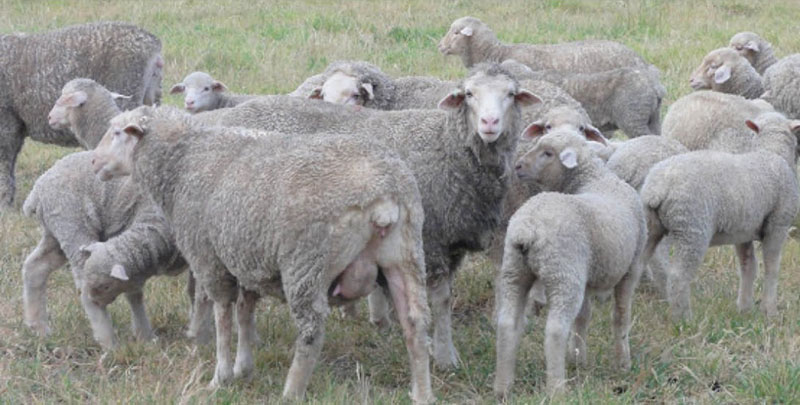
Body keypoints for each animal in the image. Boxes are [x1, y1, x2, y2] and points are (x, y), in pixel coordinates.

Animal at [90, 105, 434, 404]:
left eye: (117, 132)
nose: (93, 162)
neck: (184, 162)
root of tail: (383, 193)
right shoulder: (246, 258)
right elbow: (245, 311)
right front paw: (244, 367)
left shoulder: (210, 259)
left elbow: (224, 316)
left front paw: (221, 376)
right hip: (406, 254)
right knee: (415, 322)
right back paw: (422, 392)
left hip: (306, 261)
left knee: (312, 328)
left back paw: (292, 391)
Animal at [192, 63, 541, 369]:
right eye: (469, 94)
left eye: (511, 94)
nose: (490, 123)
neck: (449, 145)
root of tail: (225, 118)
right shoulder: (431, 241)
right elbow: (439, 301)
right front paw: (444, 356)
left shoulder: (451, 243)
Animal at [494, 128, 646, 397]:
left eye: (547, 152)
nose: (518, 165)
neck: (595, 179)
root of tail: (528, 229)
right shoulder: (631, 269)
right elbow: (620, 317)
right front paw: (623, 363)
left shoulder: (587, 275)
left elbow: (583, 318)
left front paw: (578, 358)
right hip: (563, 274)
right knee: (555, 330)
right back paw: (557, 389)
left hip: (515, 270)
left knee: (506, 323)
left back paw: (503, 387)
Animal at [641, 111, 800, 321]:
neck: (772, 153)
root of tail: (658, 188)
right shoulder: (778, 224)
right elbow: (771, 268)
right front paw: (769, 311)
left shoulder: (743, 231)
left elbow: (748, 266)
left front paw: (744, 308)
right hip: (691, 229)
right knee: (678, 276)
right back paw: (683, 319)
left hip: (650, 226)